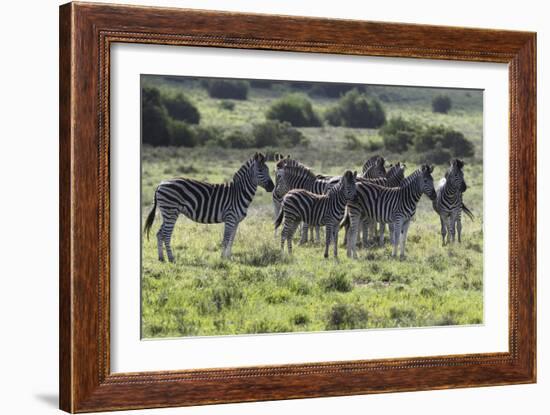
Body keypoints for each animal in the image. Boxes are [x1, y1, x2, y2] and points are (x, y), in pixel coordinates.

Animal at [144, 153, 276, 264]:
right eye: (260, 170)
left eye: (269, 170)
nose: (272, 187)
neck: (239, 193)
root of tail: (160, 184)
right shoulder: (230, 218)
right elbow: (226, 240)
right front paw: (222, 259)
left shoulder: (236, 221)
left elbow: (232, 240)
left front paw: (229, 258)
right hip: (171, 211)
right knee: (166, 234)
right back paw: (171, 258)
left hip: (167, 213)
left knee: (159, 233)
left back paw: (161, 258)